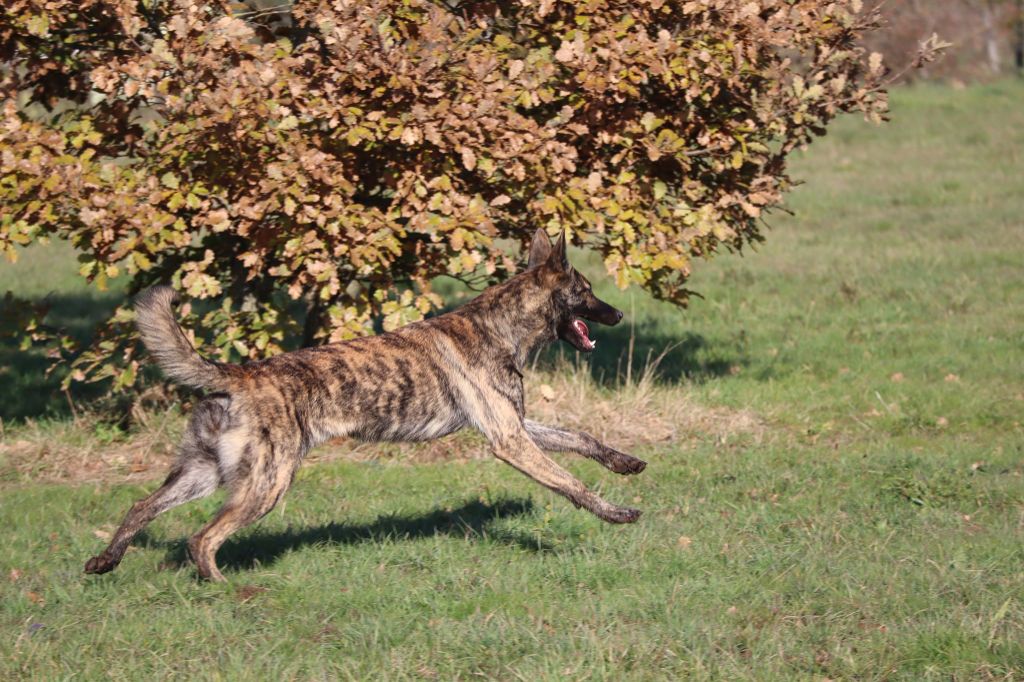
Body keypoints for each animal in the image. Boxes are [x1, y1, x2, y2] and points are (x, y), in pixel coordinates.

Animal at [88, 229, 647, 577]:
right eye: (586, 290)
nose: (619, 314)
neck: (501, 327)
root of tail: (238, 376)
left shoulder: (516, 425)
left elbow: (581, 438)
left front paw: (625, 462)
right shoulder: (509, 439)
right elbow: (571, 482)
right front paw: (615, 513)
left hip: (206, 472)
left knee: (141, 507)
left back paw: (105, 561)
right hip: (267, 482)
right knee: (202, 539)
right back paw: (225, 590)